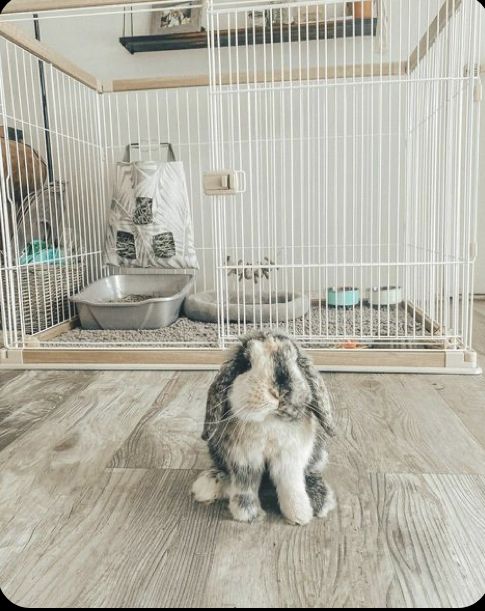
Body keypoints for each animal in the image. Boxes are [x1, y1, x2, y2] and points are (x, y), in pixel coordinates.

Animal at [191, 330, 334, 524]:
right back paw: (208, 485)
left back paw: (320, 501)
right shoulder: (244, 458)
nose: (280, 391)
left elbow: (291, 484)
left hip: (317, 453)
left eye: (296, 361)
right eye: (246, 364)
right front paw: (248, 515)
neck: (270, 421)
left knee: (311, 472)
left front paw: (299, 516)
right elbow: (245, 484)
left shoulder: (291, 457)